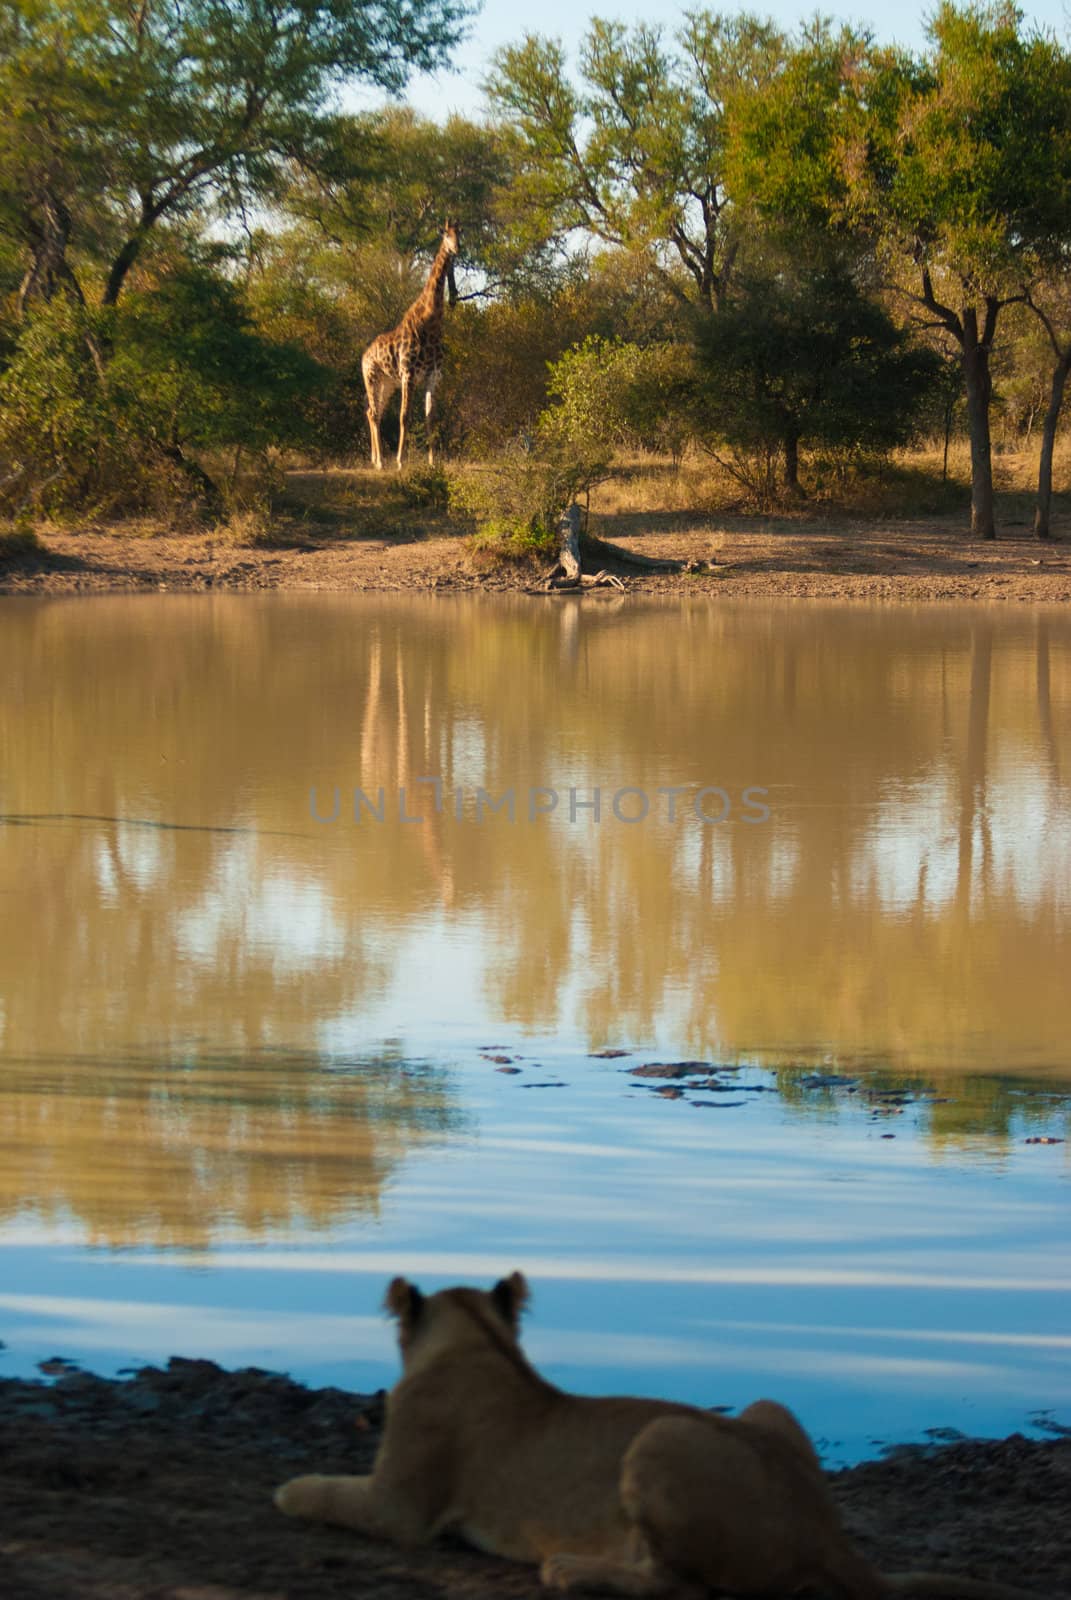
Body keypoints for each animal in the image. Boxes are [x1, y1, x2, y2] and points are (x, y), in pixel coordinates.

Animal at [361, 220, 457, 467]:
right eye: (446, 234)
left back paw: (376, 459)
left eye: (460, 234)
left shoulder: (433, 376)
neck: (431, 324)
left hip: (387, 383)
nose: (456, 249)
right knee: (374, 412)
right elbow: (404, 416)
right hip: (372, 377)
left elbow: (430, 417)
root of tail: (364, 355)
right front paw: (401, 461)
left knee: (372, 412)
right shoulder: (409, 374)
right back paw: (380, 462)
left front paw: (433, 461)